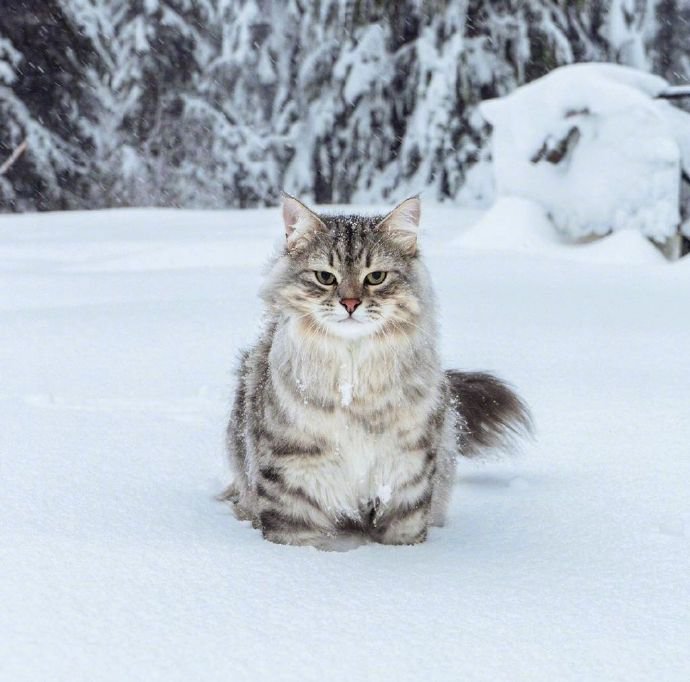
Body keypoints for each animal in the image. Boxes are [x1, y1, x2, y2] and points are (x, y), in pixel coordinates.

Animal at [220, 191, 528, 548]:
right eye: (325, 277)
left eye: (376, 277)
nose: (350, 304)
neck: (353, 385)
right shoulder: (291, 482)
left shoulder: (406, 476)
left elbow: (404, 533)